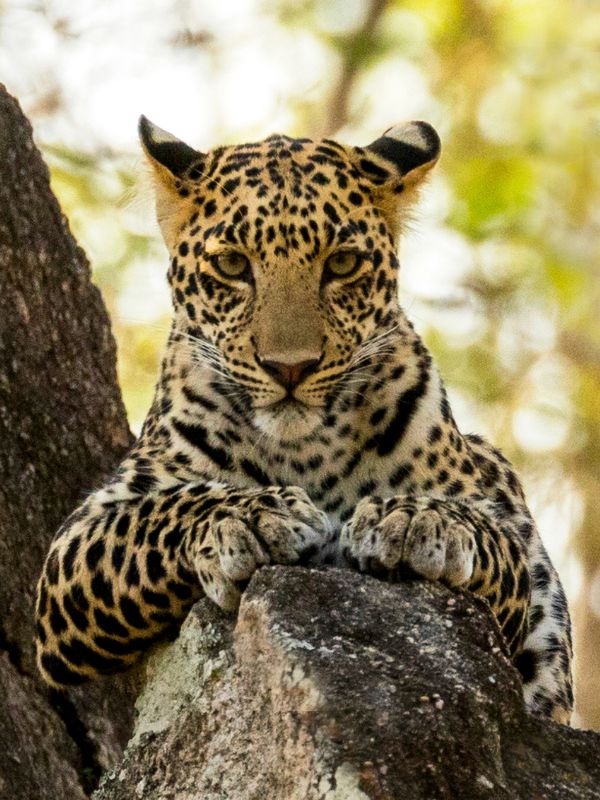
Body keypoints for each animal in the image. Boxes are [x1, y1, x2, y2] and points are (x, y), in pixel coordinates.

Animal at [35, 114, 576, 724]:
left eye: (342, 264)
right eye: (232, 264)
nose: (289, 367)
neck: (303, 449)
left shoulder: (498, 522)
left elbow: (490, 534)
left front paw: (418, 519)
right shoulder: (78, 543)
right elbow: (159, 513)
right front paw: (248, 517)